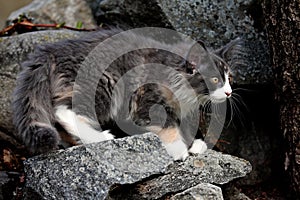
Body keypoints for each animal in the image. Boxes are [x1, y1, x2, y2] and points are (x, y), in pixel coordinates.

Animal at [12, 27, 241, 160]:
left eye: (230, 78)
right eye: (215, 80)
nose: (229, 93)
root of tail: (51, 50)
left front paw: (197, 143)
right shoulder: (145, 98)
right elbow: (167, 123)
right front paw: (179, 149)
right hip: (104, 81)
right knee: (63, 109)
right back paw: (100, 137)